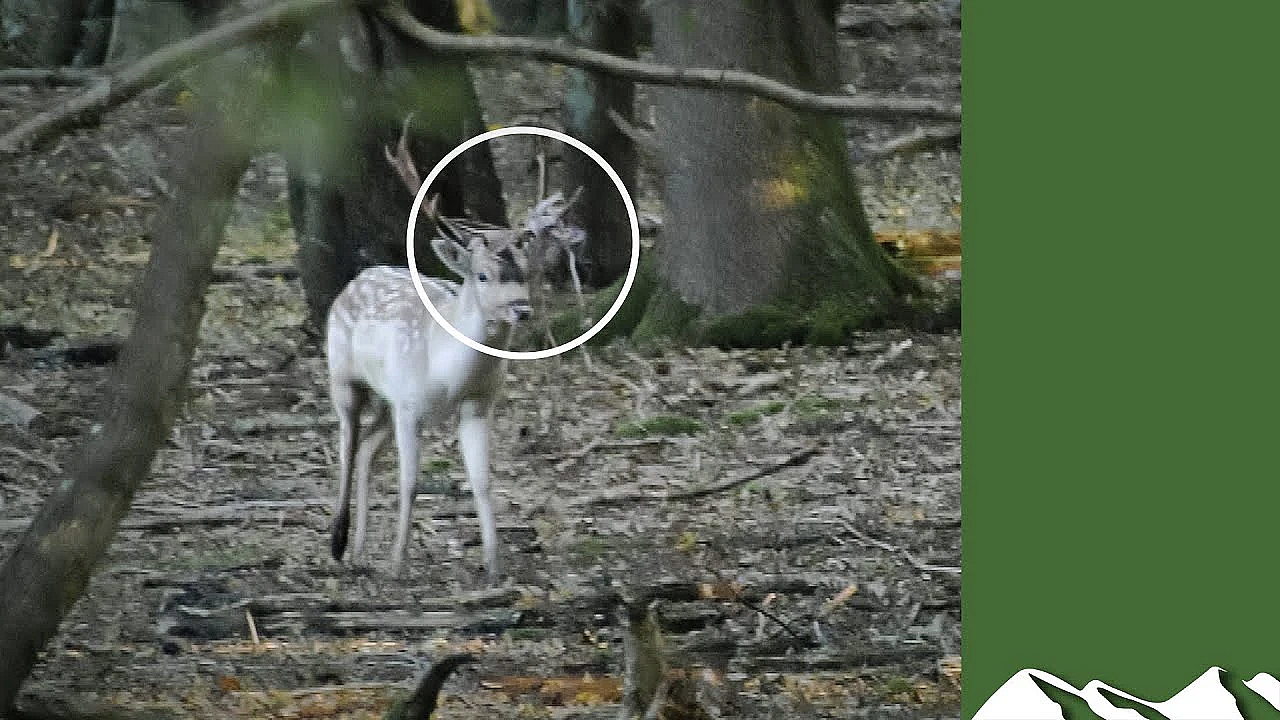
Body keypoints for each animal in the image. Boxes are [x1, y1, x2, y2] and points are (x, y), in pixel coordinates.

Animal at [325, 121, 548, 582]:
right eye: (482, 275)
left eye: (528, 272)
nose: (522, 309)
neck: (448, 377)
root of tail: (354, 280)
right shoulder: (410, 405)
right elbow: (410, 481)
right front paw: (397, 562)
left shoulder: (478, 404)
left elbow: (482, 481)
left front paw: (493, 564)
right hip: (342, 376)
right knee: (348, 445)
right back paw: (338, 543)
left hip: (387, 402)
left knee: (368, 448)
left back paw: (358, 553)